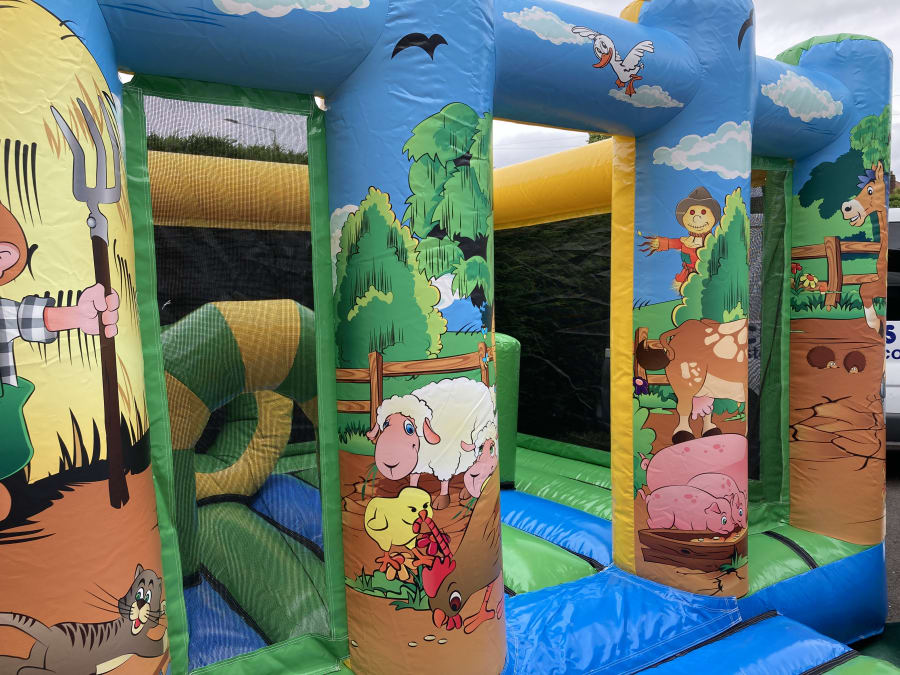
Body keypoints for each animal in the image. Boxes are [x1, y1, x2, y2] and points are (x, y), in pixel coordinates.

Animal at [367, 377, 495, 509]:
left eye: (409, 428)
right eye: (385, 424)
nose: (389, 465)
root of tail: (479, 384)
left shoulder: (446, 459)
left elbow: (444, 479)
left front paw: (442, 499)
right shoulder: (418, 463)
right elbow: (414, 477)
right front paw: (411, 492)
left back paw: (466, 492)